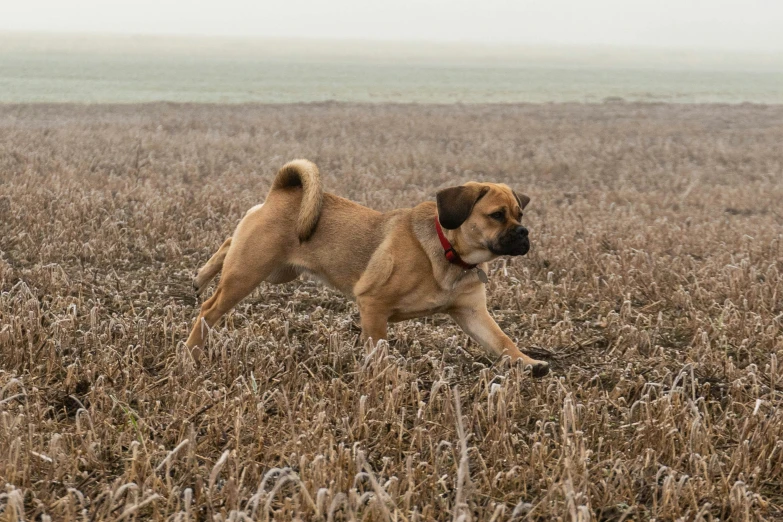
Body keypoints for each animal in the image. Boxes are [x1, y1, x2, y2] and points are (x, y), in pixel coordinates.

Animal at [186, 158, 548, 374]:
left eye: (520, 214)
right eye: (496, 215)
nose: (523, 233)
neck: (450, 253)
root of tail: (281, 192)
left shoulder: (472, 314)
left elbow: (503, 341)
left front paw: (529, 363)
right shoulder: (373, 304)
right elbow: (379, 349)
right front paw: (384, 380)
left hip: (277, 271)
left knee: (228, 243)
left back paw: (200, 276)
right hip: (249, 273)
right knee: (209, 309)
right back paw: (192, 351)